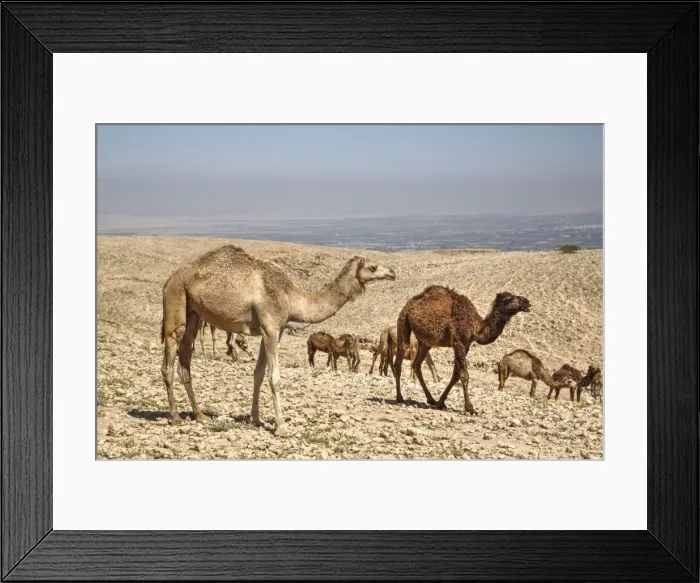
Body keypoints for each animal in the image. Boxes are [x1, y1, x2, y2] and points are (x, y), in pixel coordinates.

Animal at [160, 245, 396, 436]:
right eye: (373, 267)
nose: (392, 272)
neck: (292, 297)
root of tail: (169, 279)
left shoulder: (274, 330)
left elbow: (258, 374)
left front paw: (256, 419)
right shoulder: (271, 328)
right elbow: (274, 377)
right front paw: (281, 427)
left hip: (193, 311)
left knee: (185, 357)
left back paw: (200, 415)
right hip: (175, 297)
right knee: (170, 351)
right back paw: (175, 416)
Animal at [389, 286, 531, 414]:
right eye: (508, 298)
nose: (527, 302)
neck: (476, 327)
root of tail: (410, 303)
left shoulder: (466, 345)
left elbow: (456, 374)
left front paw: (441, 403)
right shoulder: (458, 341)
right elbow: (464, 374)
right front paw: (470, 408)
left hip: (425, 343)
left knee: (416, 364)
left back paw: (431, 400)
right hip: (403, 321)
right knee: (399, 361)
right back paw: (400, 399)